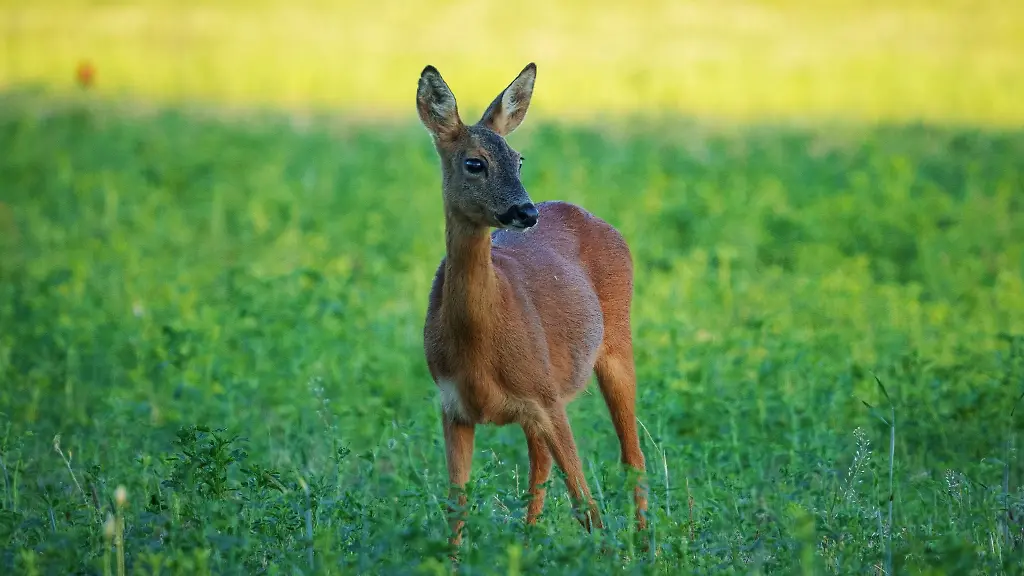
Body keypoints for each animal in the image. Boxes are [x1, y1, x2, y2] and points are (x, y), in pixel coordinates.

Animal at [416, 62, 648, 551]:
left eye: (519, 159)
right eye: (475, 162)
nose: (525, 211)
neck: (478, 343)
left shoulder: (546, 397)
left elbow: (586, 504)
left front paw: (610, 556)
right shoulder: (452, 405)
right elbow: (456, 506)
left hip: (616, 344)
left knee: (631, 455)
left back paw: (645, 544)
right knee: (540, 468)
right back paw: (528, 542)